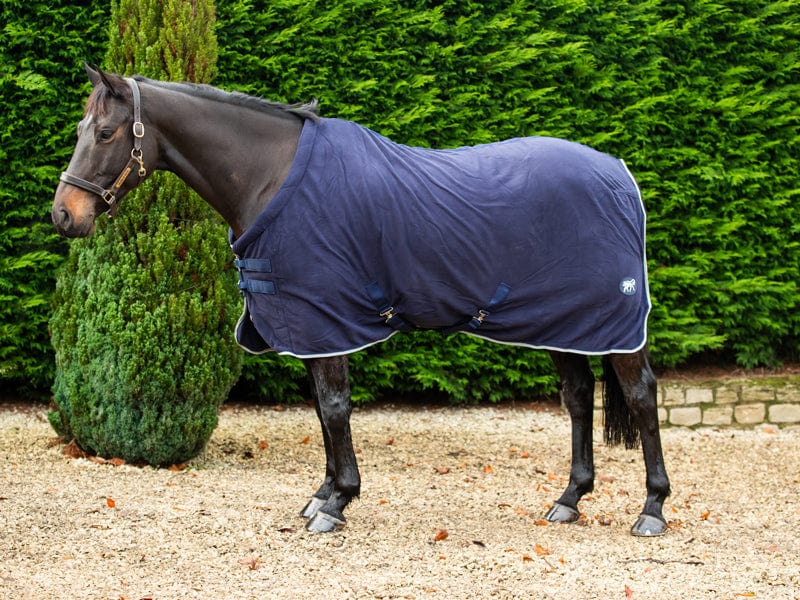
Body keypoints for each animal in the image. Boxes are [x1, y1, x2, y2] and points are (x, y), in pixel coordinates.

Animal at [52, 64, 670, 536]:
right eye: (83, 127)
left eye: (105, 133)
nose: (63, 215)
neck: (272, 176)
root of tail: (620, 175)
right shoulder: (307, 323)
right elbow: (323, 411)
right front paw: (322, 493)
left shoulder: (325, 320)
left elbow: (333, 408)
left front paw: (337, 502)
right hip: (564, 324)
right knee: (578, 398)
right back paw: (568, 500)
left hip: (612, 325)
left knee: (641, 397)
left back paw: (652, 509)